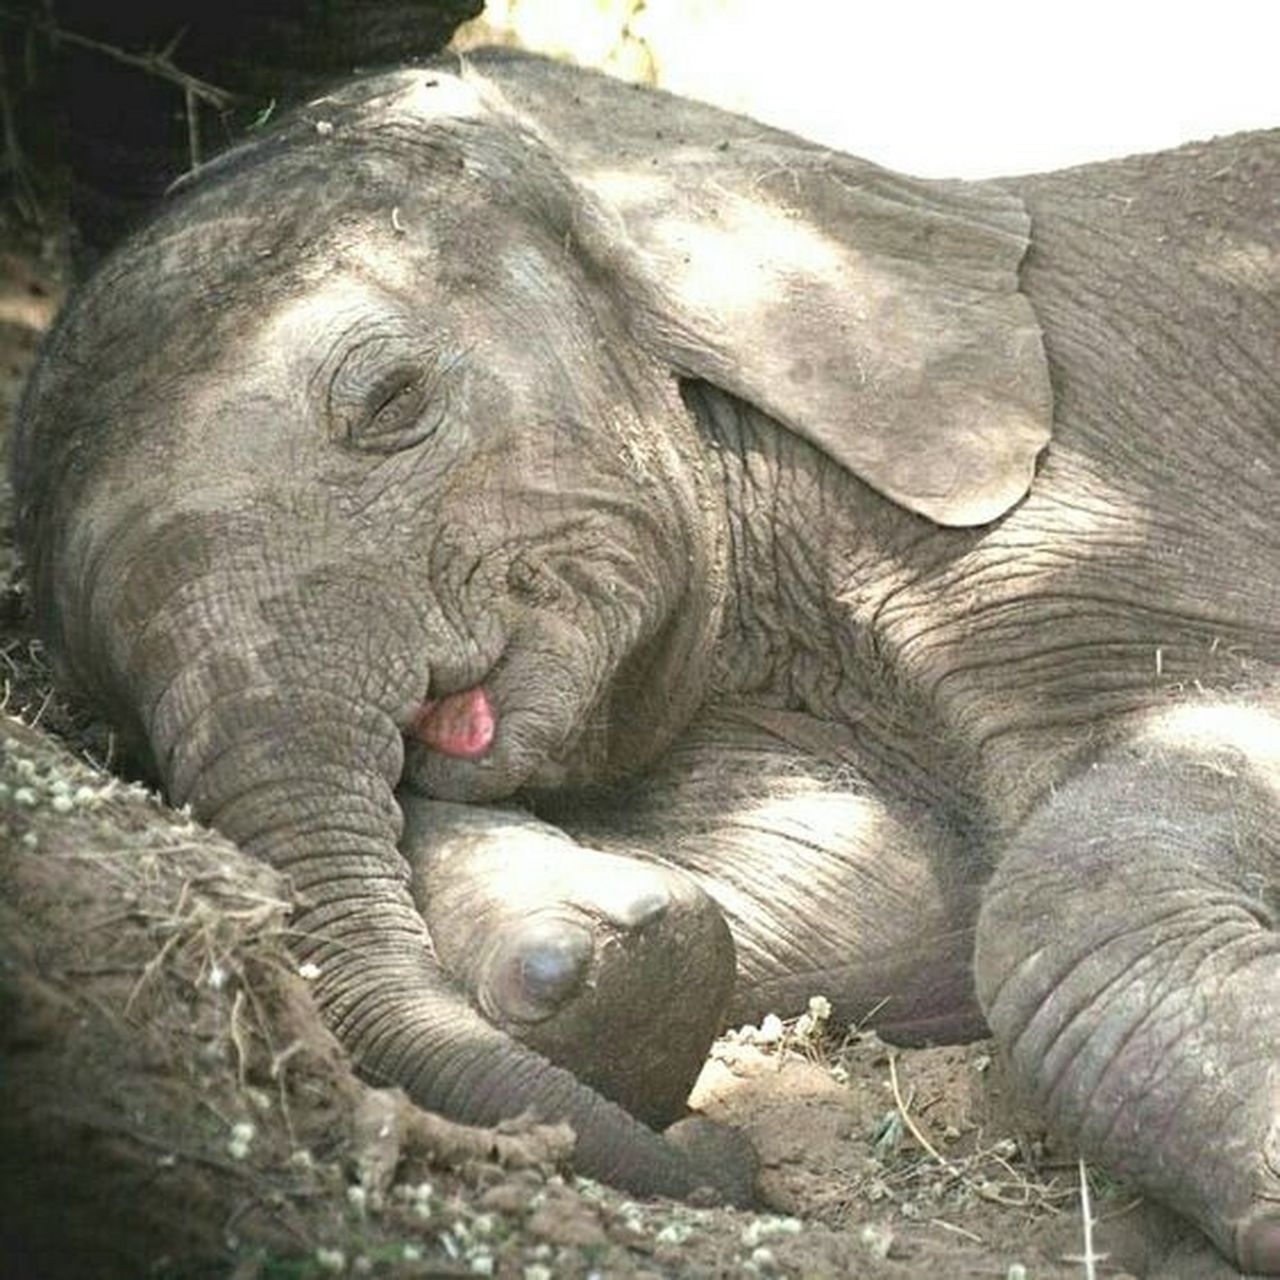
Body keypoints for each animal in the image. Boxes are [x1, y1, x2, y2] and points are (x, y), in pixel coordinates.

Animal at [11, 47, 1279, 1271]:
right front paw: (592, 951)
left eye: (390, 400)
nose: (725, 1154)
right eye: (103, 696)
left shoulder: (1107, 496)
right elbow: (888, 903)